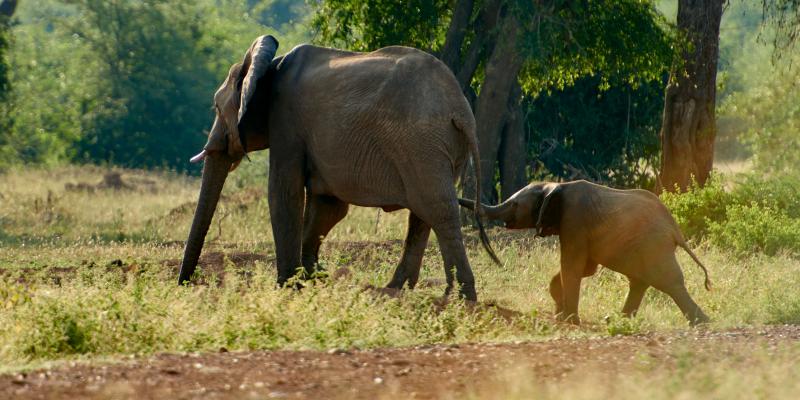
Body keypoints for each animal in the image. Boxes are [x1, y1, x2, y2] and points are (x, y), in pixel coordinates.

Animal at [177, 35, 499, 301]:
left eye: (216, 108)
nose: (186, 284)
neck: (267, 65)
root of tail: (460, 109)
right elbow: (327, 207)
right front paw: (313, 279)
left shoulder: (286, 123)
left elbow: (284, 194)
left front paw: (287, 287)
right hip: (439, 147)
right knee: (423, 215)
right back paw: (398, 291)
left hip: (420, 144)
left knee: (437, 210)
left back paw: (460, 299)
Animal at [459, 180, 711, 325]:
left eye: (514, 205)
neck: (555, 185)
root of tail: (675, 230)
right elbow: (586, 268)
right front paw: (559, 313)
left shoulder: (574, 219)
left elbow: (572, 264)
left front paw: (569, 320)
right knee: (641, 282)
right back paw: (616, 321)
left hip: (653, 245)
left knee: (669, 283)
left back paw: (702, 323)